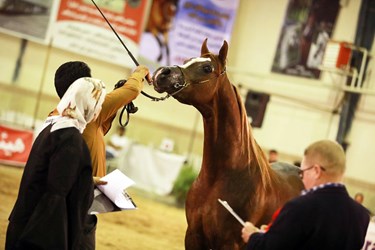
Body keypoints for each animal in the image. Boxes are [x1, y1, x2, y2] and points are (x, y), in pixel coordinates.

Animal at [152, 38, 302, 249]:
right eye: (187, 60)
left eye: (207, 68)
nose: (162, 73)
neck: (220, 177)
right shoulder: (193, 236)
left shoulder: (229, 243)